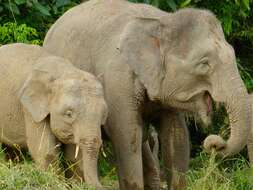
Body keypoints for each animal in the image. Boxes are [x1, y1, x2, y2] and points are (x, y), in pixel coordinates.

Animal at [0, 43, 107, 190]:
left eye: (104, 115)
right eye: (69, 114)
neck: (62, 72)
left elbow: (75, 155)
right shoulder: (30, 110)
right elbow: (46, 152)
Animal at [43, 0, 251, 189]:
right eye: (204, 63)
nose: (213, 142)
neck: (162, 21)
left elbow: (177, 135)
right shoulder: (117, 80)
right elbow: (128, 135)